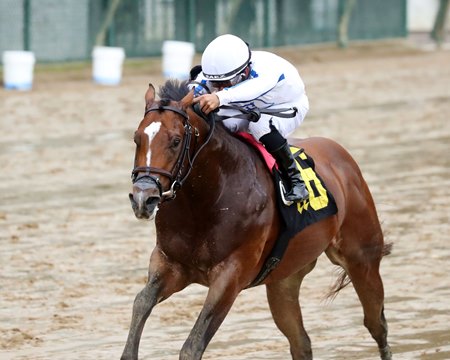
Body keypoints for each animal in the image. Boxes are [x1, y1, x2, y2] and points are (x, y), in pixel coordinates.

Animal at [122, 80, 390, 358]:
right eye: (136, 138)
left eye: (175, 141)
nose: (143, 198)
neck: (207, 199)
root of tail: (342, 158)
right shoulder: (170, 264)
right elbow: (141, 303)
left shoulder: (231, 275)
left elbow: (192, 345)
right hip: (285, 279)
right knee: (301, 342)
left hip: (362, 258)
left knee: (376, 324)